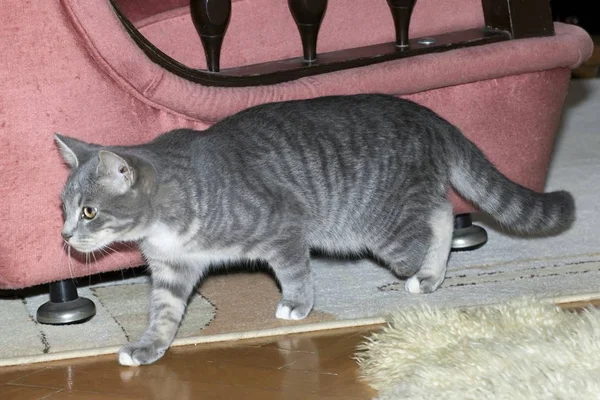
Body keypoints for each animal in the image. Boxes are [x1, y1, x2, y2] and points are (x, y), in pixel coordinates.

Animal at [56, 94, 576, 366]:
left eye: (89, 212)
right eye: (63, 207)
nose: (64, 235)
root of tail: (429, 115)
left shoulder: (283, 225)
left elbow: (293, 271)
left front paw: (297, 304)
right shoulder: (171, 270)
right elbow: (163, 313)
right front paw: (149, 347)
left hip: (379, 225)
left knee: (433, 223)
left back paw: (426, 272)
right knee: (443, 211)